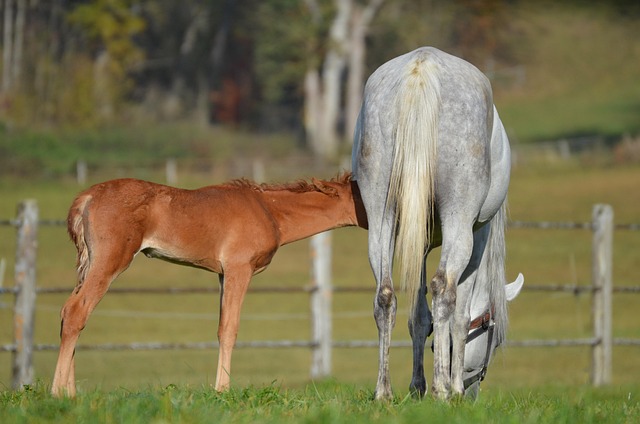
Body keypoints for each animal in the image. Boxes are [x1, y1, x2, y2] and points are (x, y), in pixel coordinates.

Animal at [51, 172, 367, 397]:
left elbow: (220, 327)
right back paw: (57, 392)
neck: (270, 210)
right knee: (77, 312)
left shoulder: (222, 274)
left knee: (69, 311)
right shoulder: (239, 269)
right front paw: (222, 391)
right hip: (111, 260)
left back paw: (71, 393)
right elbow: (230, 329)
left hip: (89, 262)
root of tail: (87, 197)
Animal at [351, 46, 524, 400]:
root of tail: (422, 67)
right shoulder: (478, 234)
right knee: (444, 290)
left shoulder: (418, 242)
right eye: (495, 339)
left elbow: (419, 316)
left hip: (381, 221)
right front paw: (448, 385)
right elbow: (458, 314)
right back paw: (444, 388)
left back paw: (384, 392)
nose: (473, 391)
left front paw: (417, 387)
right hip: (459, 222)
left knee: (385, 296)